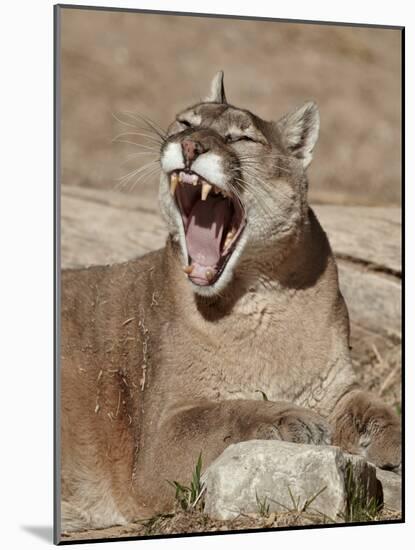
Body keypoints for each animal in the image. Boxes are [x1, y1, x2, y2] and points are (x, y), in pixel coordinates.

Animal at [60, 71, 402, 532]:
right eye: (185, 123)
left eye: (240, 137)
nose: (190, 146)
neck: (261, 295)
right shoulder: (159, 442)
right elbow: (227, 414)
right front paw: (290, 419)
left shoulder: (336, 388)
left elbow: (376, 407)